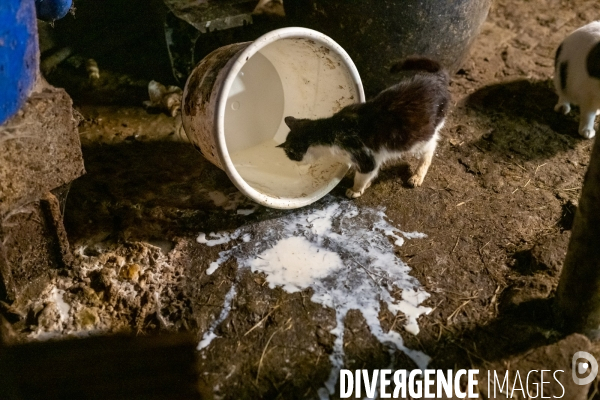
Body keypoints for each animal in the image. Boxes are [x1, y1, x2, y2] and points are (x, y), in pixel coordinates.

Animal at [278, 56, 448, 198]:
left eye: (291, 154)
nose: (295, 163)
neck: (330, 130)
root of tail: (437, 77)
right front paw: (366, 185)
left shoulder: (365, 158)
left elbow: (361, 176)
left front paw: (356, 190)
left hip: (419, 137)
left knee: (431, 147)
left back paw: (417, 176)